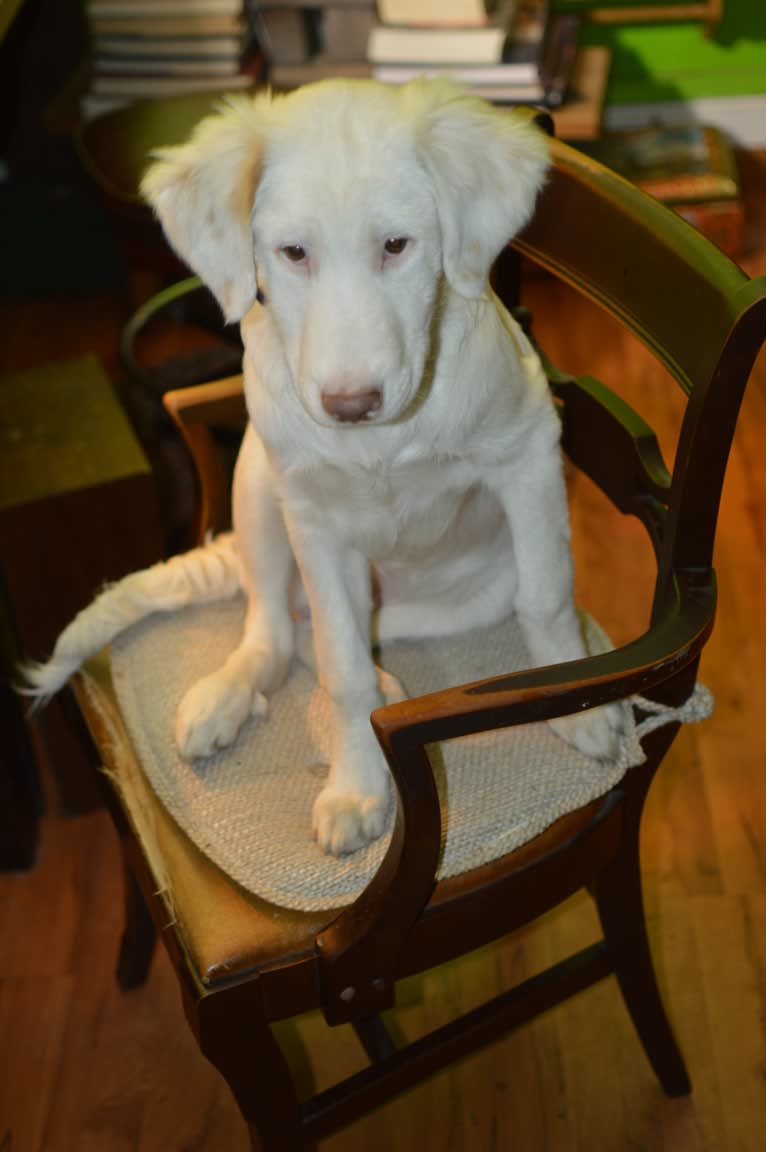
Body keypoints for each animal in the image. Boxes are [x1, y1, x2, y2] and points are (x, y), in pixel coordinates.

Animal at [25, 81, 622, 857]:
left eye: (397, 245)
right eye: (293, 253)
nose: (350, 404)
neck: (385, 443)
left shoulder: (528, 454)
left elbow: (547, 599)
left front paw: (575, 705)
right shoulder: (314, 521)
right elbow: (341, 668)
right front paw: (358, 786)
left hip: (463, 596)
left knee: (322, 631)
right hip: (256, 480)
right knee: (278, 629)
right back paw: (233, 696)